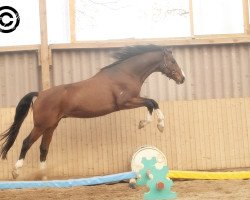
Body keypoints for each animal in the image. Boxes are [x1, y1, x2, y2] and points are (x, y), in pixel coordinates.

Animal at [0, 44, 186, 179]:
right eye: (173, 61)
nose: (182, 78)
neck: (125, 74)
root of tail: (40, 94)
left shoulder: (132, 100)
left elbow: (151, 103)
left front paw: (145, 124)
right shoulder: (125, 102)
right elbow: (152, 102)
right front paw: (158, 125)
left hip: (51, 126)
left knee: (43, 148)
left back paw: (43, 176)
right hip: (41, 125)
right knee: (26, 143)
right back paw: (16, 171)